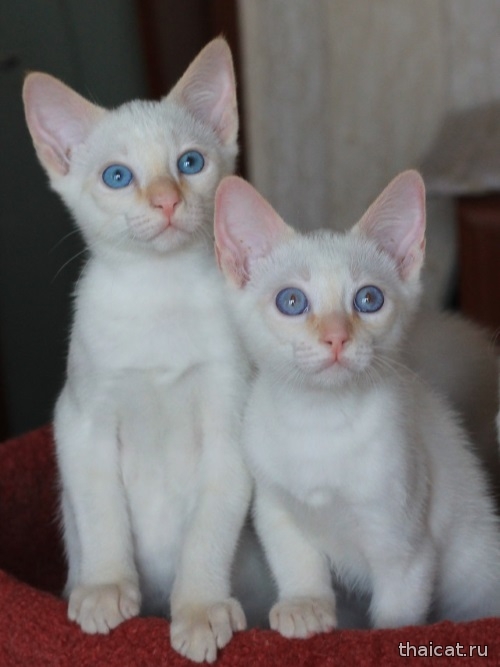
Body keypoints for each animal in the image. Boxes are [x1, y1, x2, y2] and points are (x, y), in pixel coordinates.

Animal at [23, 38, 253, 662]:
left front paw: (198, 608)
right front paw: (105, 589)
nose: (166, 200)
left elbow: (210, 527)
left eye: (190, 164)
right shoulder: (80, 420)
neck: (160, 294)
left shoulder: (230, 425)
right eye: (117, 176)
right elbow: (101, 512)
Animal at [214, 171, 500, 636]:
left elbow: (396, 613)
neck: (319, 424)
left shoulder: (405, 546)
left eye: (369, 299)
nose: (336, 337)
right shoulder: (275, 507)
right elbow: (295, 560)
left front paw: (384, 634)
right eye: (291, 301)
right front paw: (304, 606)